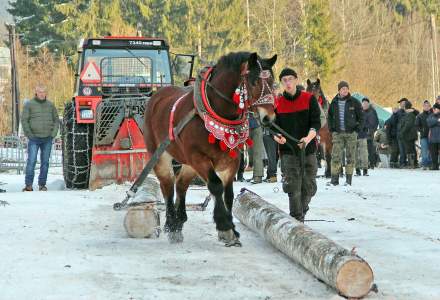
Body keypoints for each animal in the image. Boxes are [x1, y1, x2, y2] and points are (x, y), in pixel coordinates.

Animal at [144, 52, 276, 246]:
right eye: (253, 82)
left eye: (273, 82)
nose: (269, 118)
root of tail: (157, 95)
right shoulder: (199, 157)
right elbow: (215, 185)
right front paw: (224, 225)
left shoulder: (232, 160)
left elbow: (228, 193)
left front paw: (231, 231)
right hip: (161, 154)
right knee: (167, 184)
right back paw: (171, 224)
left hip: (188, 163)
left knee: (181, 184)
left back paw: (179, 222)